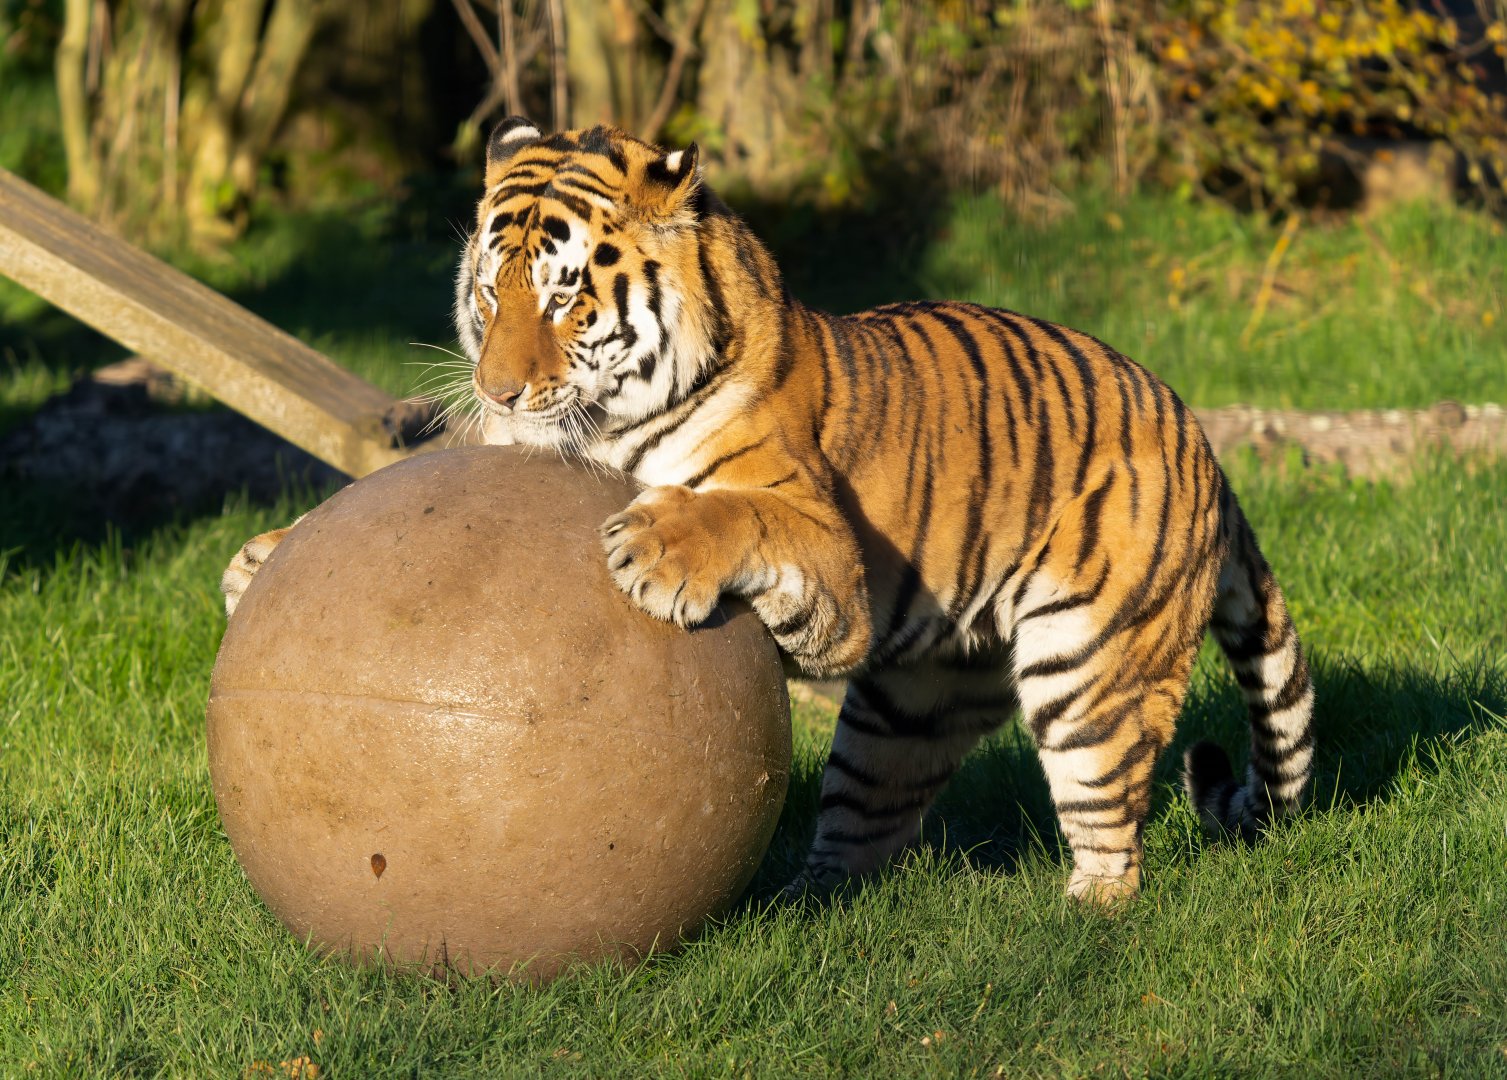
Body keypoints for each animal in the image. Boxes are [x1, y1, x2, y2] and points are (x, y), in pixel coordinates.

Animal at [222, 117, 1316, 904]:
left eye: (565, 299)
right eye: (490, 295)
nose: (498, 391)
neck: (597, 430)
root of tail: (1200, 440)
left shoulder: (832, 561)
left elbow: (741, 516)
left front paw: (656, 545)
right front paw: (258, 560)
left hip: (1090, 670)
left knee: (1108, 826)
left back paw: (1082, 917)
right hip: (906, 707)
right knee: (864, 826)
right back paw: (806, 908)